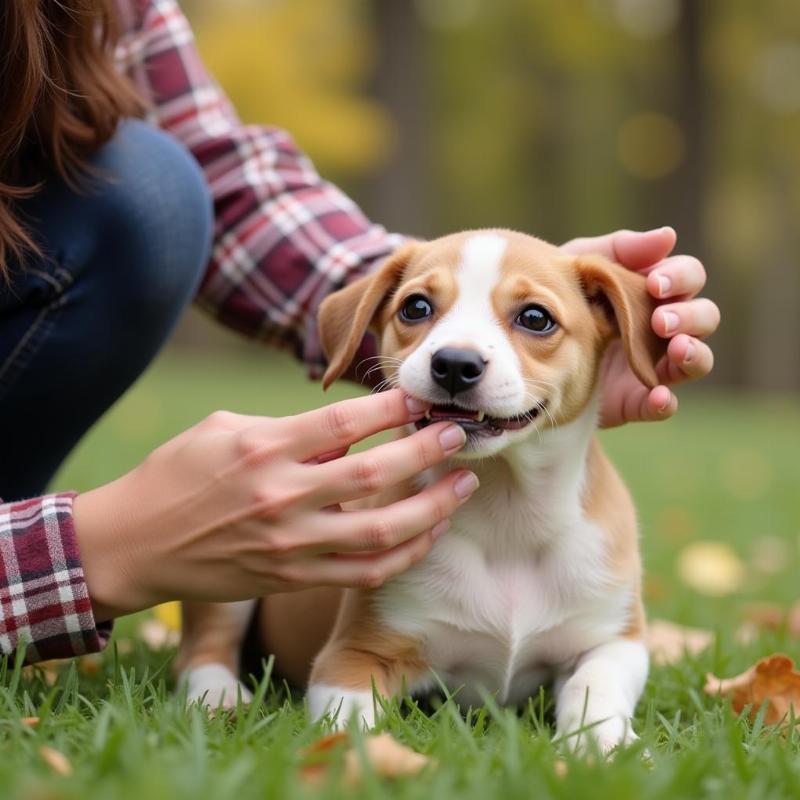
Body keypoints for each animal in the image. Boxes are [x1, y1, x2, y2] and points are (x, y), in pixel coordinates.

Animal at [180, 230, 664, 752]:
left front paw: (603, 745)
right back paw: (221, 697)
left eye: (536, 318)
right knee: (201, 651)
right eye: (415, 307)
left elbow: (594, 685)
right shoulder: (355, 654)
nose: (454, 363)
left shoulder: (614, 638)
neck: (506, 511)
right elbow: (351, 720)